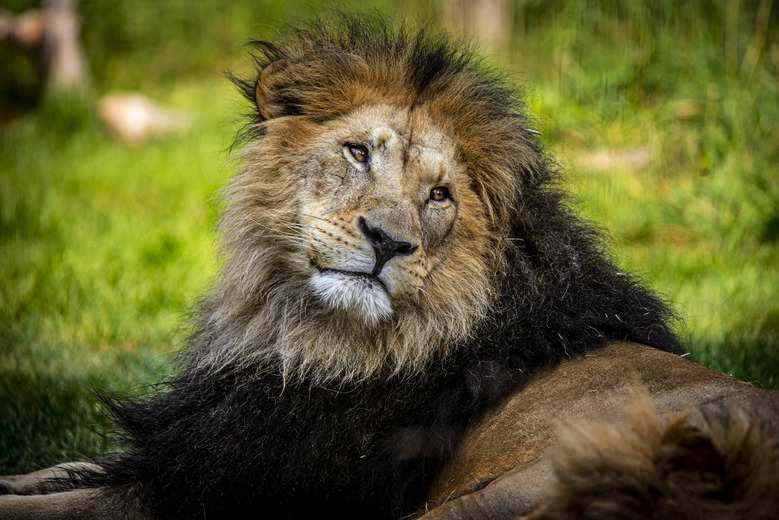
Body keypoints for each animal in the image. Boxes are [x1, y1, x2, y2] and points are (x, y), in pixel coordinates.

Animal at [1, 16, 779, 520]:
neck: (306, 333)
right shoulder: (176, 448)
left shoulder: (224, 487)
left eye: (439, 195)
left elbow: (69, 503)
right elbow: (56, 470)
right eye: (357, 152)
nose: (386, 241)